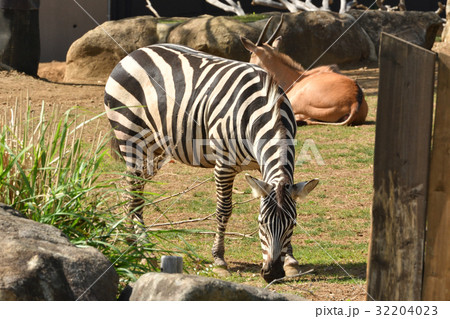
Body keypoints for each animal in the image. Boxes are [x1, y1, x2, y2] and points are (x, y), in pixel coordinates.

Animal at [103, 42, 318, 282]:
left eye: (293, 224)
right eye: (261, 222)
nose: (273, 273)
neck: (265, 108)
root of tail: (135, 52)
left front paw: (290, 260)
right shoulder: (224, 165)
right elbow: (224, 209)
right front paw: (219, 260)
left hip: (154, 150)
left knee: (131, 190)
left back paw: (130, 240)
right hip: (131, 138)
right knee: (135, 193)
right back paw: (142, 248)